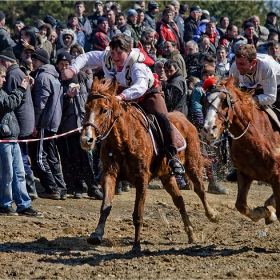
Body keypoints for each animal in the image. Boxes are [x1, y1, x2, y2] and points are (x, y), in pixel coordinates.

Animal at [80, 77, 220, 252]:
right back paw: (191, 234)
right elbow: (105, 206)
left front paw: (136, 246)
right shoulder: (109, 175)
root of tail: (186, 120)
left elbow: (138, 213)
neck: (124, 139)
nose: (86, 140)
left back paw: (212, 215)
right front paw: (97, 234)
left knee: (200, 189)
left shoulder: (142, 179)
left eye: (104, 110)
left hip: (192, 165)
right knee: (179, 200)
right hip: (166, 175)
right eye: (86, 107)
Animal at [203, 75, 280, 224]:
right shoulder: (245, 174)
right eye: (204, 101)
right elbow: (241, 205)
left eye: (224, 101)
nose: (209, 129)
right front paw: (265, 212)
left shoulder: (277, 178)